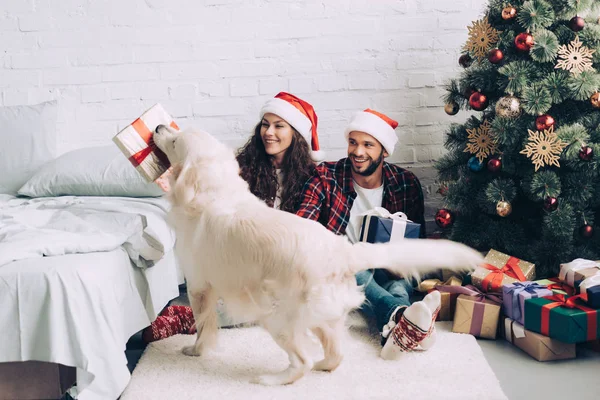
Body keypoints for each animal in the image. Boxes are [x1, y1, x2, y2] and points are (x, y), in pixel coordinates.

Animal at [154, 125, 482, 384]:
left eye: (175, 141)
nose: (158, 127)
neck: (213, 190)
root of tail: (342, 253)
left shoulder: (199, 285)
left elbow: (202, 326)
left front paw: (195, 351)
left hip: (277, 316)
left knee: (301, 361)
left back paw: (272, 379)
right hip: (324, 316)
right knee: (335, 354)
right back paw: (323, 365)